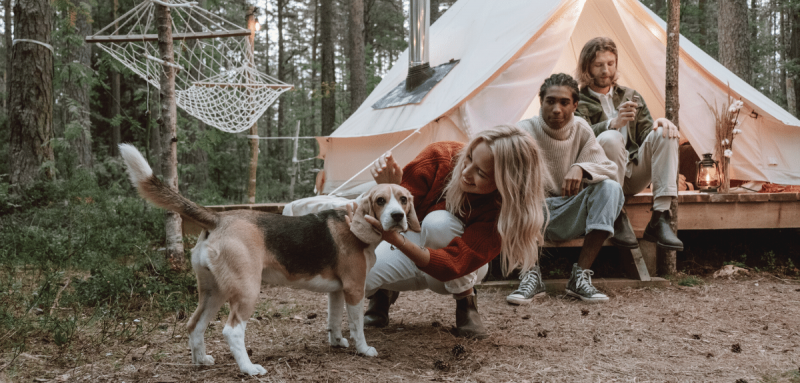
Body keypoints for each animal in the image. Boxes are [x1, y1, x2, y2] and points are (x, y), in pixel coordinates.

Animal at [119, 145, 422, 378]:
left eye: (403, 199)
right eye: (380, 201)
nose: (397, 216)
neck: (353, 220)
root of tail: (218, 218)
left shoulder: (337, 291)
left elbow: (334, 321)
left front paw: (337, 343)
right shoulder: (355, 289)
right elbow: (357, 326)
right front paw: (364, 349)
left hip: (213, 291)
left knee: (195, 325)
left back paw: (200, 361)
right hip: (246, 290)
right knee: (232, 331)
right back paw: (249, 369)